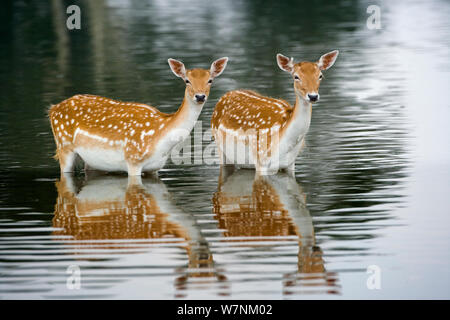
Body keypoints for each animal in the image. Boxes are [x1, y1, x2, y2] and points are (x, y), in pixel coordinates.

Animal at [48, 58, 229, 178]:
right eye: (187, 81)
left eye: (210, 80)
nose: (200, 96)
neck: (162, 135)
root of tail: (53, 109)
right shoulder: (133, 159)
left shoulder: (154, 168)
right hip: (64, 146)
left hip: (90, 160)